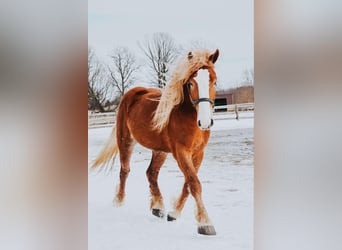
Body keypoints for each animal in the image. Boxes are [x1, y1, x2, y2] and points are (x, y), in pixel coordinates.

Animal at [91, 48, 219, 234]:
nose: (205, 122)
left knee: (151, 173)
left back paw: (157, 207)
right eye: (190, 83)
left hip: (160, 150)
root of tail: (133, 92)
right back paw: (119, 202)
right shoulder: (181, 152)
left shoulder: (198, 153)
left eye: (214, 82)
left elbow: (188, 184)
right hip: (125, 140)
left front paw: (174, 214)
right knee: (125, 170)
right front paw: (205, 224)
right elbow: (194, 183)